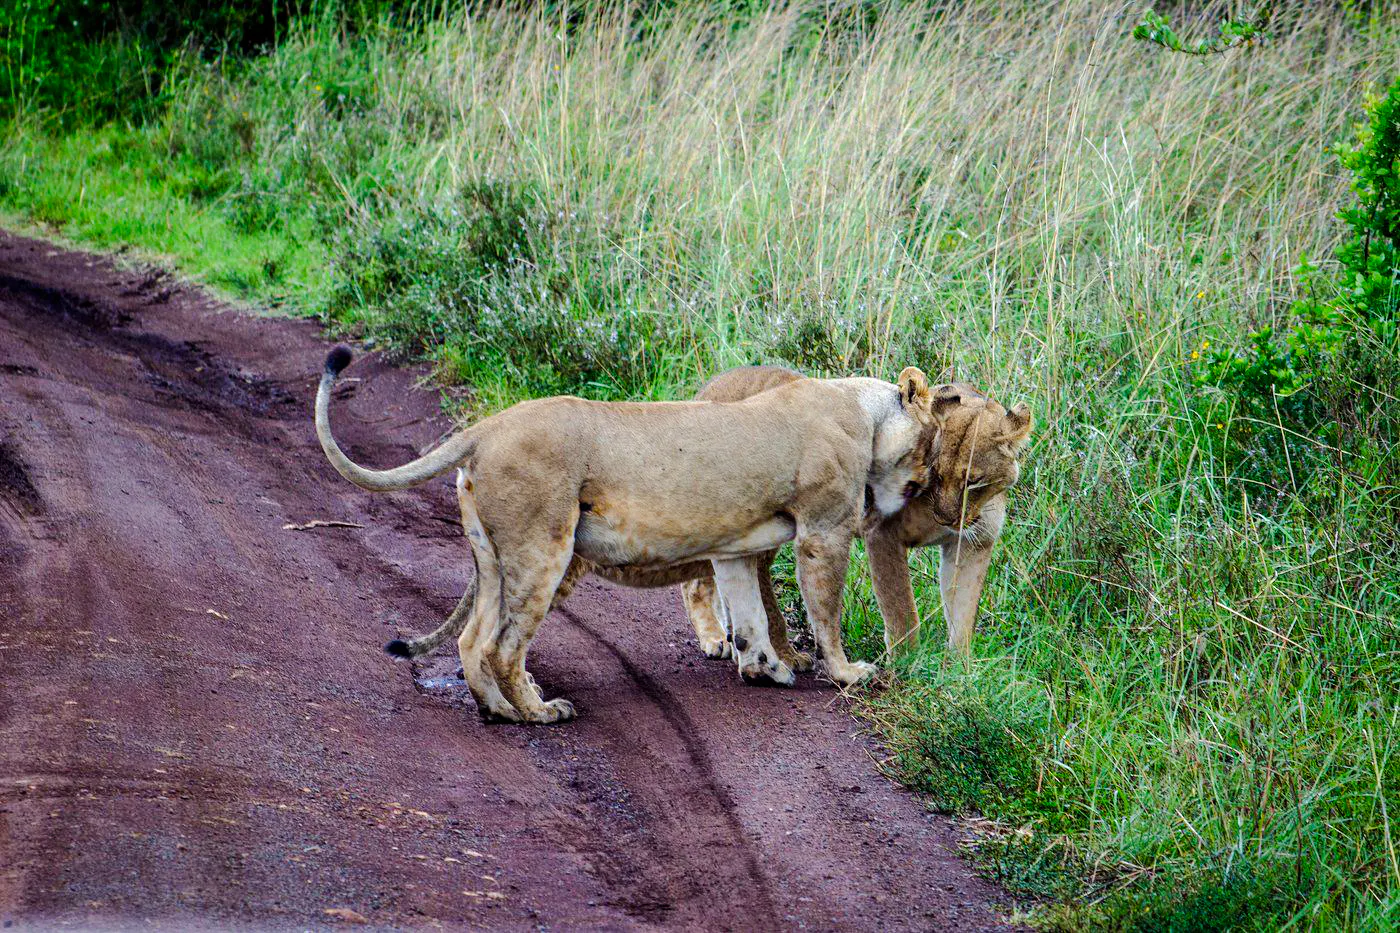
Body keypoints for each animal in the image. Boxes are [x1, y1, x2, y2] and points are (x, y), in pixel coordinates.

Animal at [315, 347, 937, 724]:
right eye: (930, 445)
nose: (930, 484)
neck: (863, 412)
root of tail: (489, 426)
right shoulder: (823, 531)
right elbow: (824, 613)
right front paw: (846, 673)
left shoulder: (738, 549)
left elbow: (750, 618)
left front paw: (766, 669)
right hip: (544, 547)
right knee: (503, 645)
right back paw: (540, 713)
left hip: (494, 556)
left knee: (473, 639)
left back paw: (500, 712)